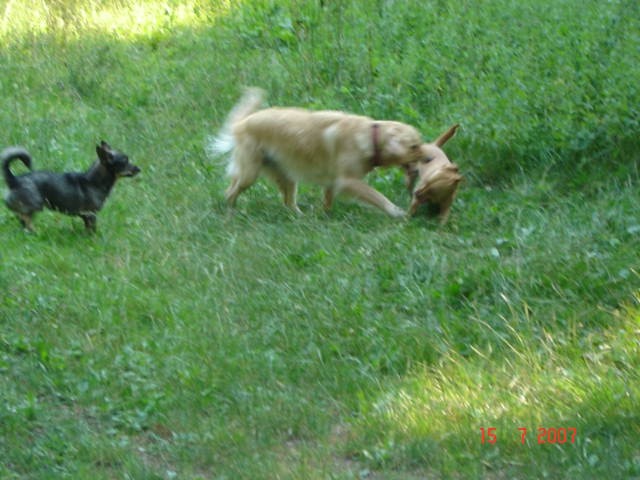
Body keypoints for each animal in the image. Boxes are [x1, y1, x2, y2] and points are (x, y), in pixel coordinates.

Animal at [2, 141, 140, 232]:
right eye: (125, 161)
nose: (139, 169)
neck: (93, 182)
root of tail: (14, 180)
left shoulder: (87, 217)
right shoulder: (91, 215)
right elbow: (92, 230)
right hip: (36, 205)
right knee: (25, 219)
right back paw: (34, 231)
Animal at [214, 87, 460, 218]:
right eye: (414, 146)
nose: (430, 158)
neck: (370, 137)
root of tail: (242, 123)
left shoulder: (333, 182)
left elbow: (328, 200)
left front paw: (324, 215)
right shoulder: (348, 181)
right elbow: (377, 196)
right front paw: (395, 211)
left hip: (286, 176)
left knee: (288, 201)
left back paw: (300, 216)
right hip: (250, 173)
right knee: (230, 191)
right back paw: (231, 212)